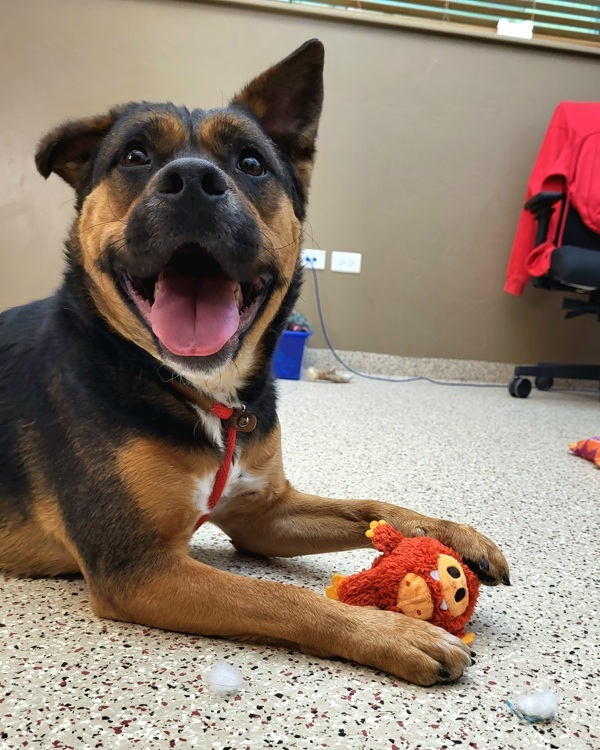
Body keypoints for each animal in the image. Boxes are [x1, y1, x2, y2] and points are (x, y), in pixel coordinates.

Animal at [0, 39, 506, 688]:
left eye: (251, 163)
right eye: (135, 156)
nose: (192, 181)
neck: (199, 393)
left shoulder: (264, 515)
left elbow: (374, 506)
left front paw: (456, 536)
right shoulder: (136, 567)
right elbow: (280, 598)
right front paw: (394, 633)